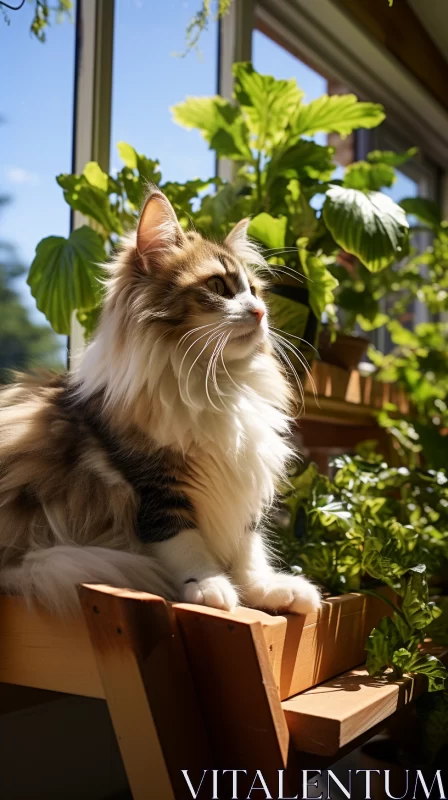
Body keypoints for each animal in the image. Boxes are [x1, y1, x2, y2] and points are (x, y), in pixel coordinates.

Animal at [0, 191, 322, 616]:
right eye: (218, 285)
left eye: (254, 291)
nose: (260, 312)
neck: (213, 382)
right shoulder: (152, 484)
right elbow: (182, 541)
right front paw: (209, 585)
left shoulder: (243, 480)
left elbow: (248, 547)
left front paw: (267, 588)